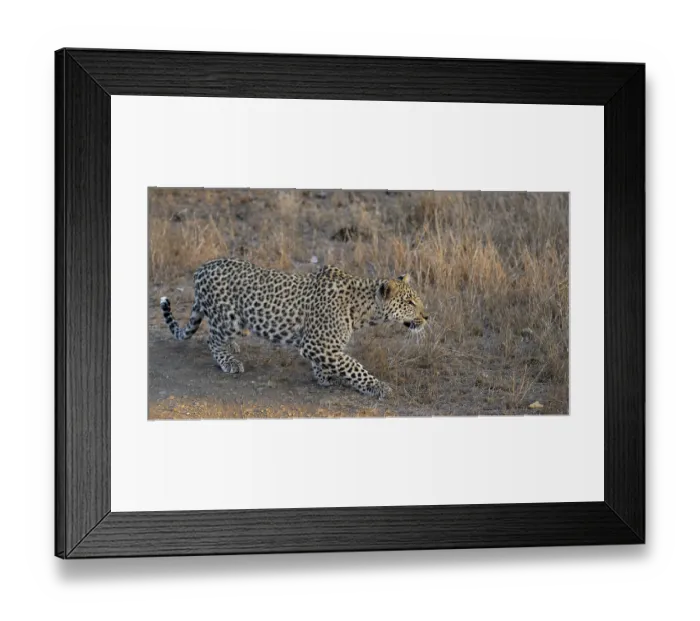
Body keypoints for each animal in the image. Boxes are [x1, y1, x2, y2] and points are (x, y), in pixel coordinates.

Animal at [159, 258, 429, 398]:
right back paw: (229, 361)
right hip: (229, 318)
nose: (427, 316)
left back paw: (233, 347)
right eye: (409, 303)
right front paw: (377, 386)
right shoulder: (316, 344)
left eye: (417, 300)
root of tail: (201, 268)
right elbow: (353, 366)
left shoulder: (320, 345)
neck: (363, 309)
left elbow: (337, 362)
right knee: (212, 339)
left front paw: (324, 375)